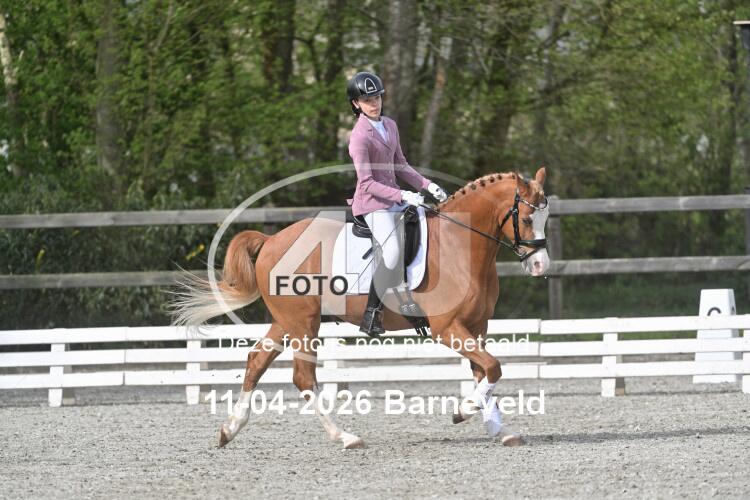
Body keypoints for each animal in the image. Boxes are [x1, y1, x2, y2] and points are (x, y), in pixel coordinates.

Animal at [171, 167, 550, 449]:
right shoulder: (448, 329)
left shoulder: (478, 326)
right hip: (303, 323)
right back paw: (345, 437)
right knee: (303, 377)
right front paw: (463, 412)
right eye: (527, 218)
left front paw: (500, 430)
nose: (540, 266)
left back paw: (229, 430)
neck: (459, 245)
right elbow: (493, 368)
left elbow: (486, 374)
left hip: (286, 321)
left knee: (256, 362)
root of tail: (271, 240)